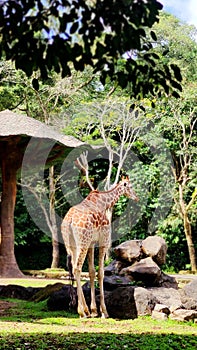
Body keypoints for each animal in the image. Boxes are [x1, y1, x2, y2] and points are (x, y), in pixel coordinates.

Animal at [61, 176, 139, 318]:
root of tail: (69, 221)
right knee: (77, 268)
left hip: (71, 245)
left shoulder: (92, 243)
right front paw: (104, 311)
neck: (104, 203)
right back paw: (82, 311)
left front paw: (94, 310)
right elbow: (101, 273)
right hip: (82, 242)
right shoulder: (104, 240)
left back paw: (83, 310)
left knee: (73, 268)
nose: (137, 197)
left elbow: (92, 272)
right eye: (130, 186)